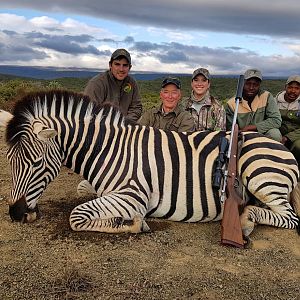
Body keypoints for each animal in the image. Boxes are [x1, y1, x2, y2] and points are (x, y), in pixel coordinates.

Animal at [0, 90, 298, 240]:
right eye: (9, 161)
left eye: (36, 163)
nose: (16, 214)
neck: (108, 150)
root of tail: (284, 149)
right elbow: (84, 195)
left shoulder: (133, 195)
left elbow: (76, 216)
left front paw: (133, 223)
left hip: (262, 177)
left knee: (290, 218)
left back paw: (246, 221)